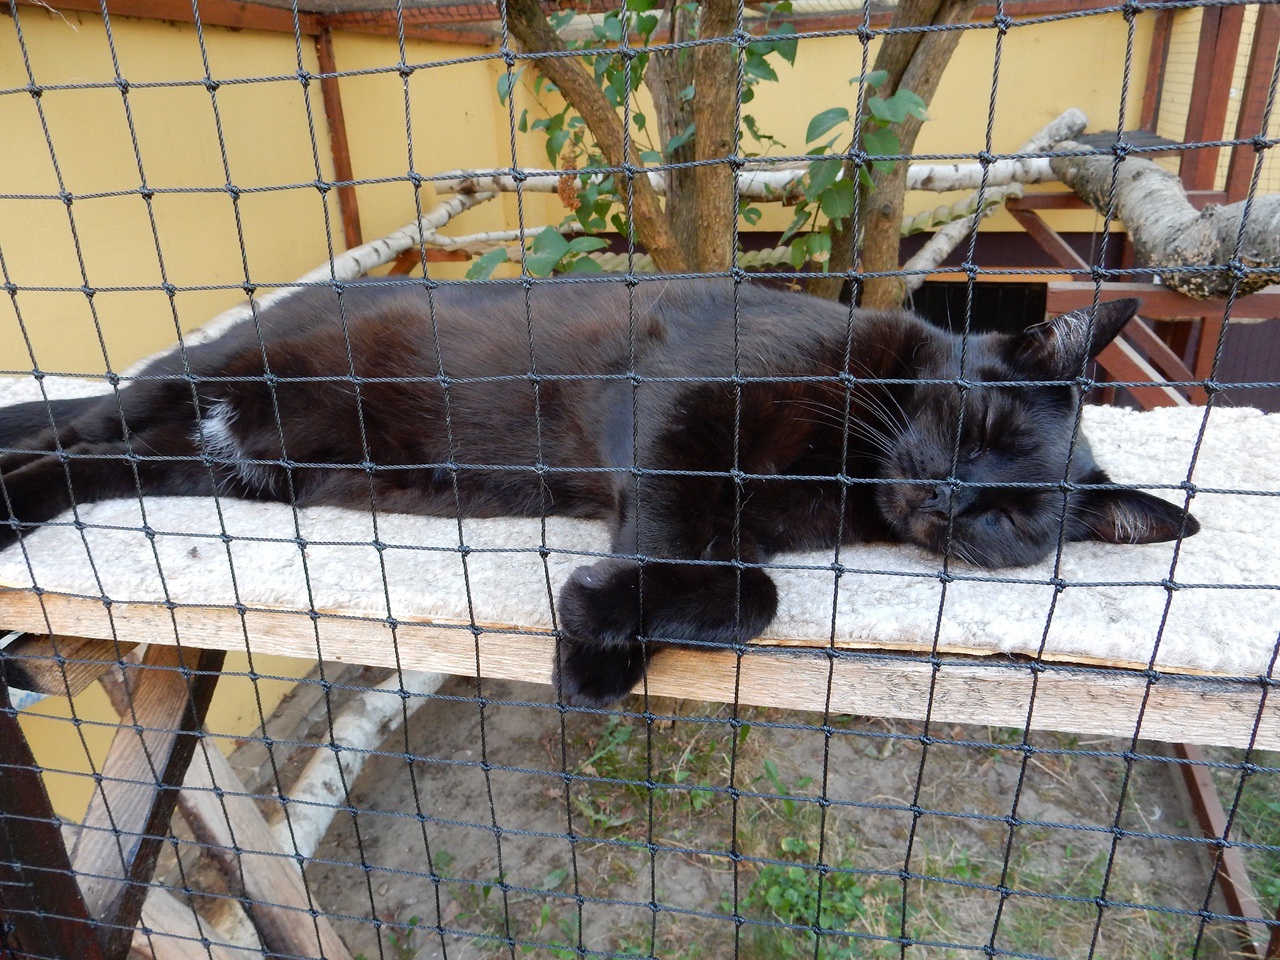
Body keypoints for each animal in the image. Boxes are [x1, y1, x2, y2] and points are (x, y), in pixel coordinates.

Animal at [0, 280, 1197, 705]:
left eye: (1012, 520)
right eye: (982, 430)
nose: (949, 502)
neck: (853, 470)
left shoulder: (740, 524)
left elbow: (746, 592)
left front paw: (606, 644)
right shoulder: (677, 409)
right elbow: (694, 552)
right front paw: (590, 632)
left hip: (230, 465)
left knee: (92, 456)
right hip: (217, 385)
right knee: (70, 433)